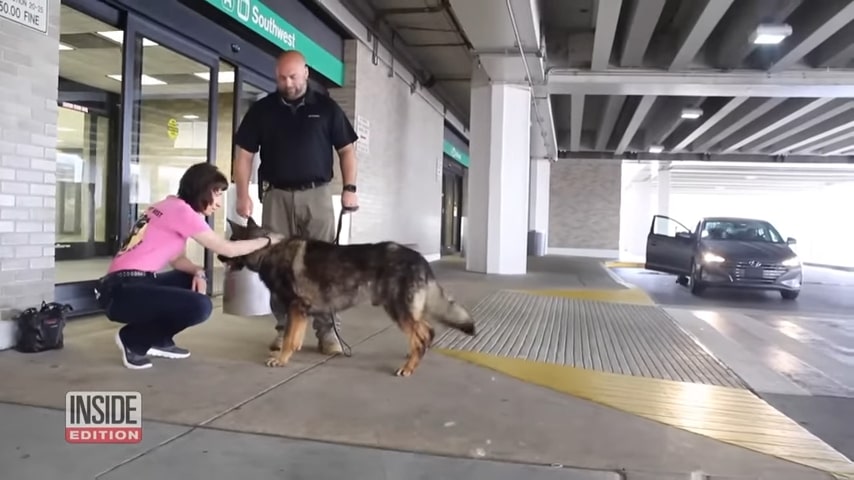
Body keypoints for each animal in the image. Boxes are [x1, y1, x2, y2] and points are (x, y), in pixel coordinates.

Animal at [217, 218, 478, 378]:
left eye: (231, 243)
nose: (218, 256)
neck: (268, 249)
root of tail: (420, 258)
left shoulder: (295, 306)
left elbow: (290, 337)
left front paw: (281, 359)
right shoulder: (300, 311)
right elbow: (295, 336)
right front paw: (290, 353)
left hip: (398, 310)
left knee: (423, 334)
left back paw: (409, 366)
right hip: (405, 310)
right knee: (426, 331)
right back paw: (415, 354)